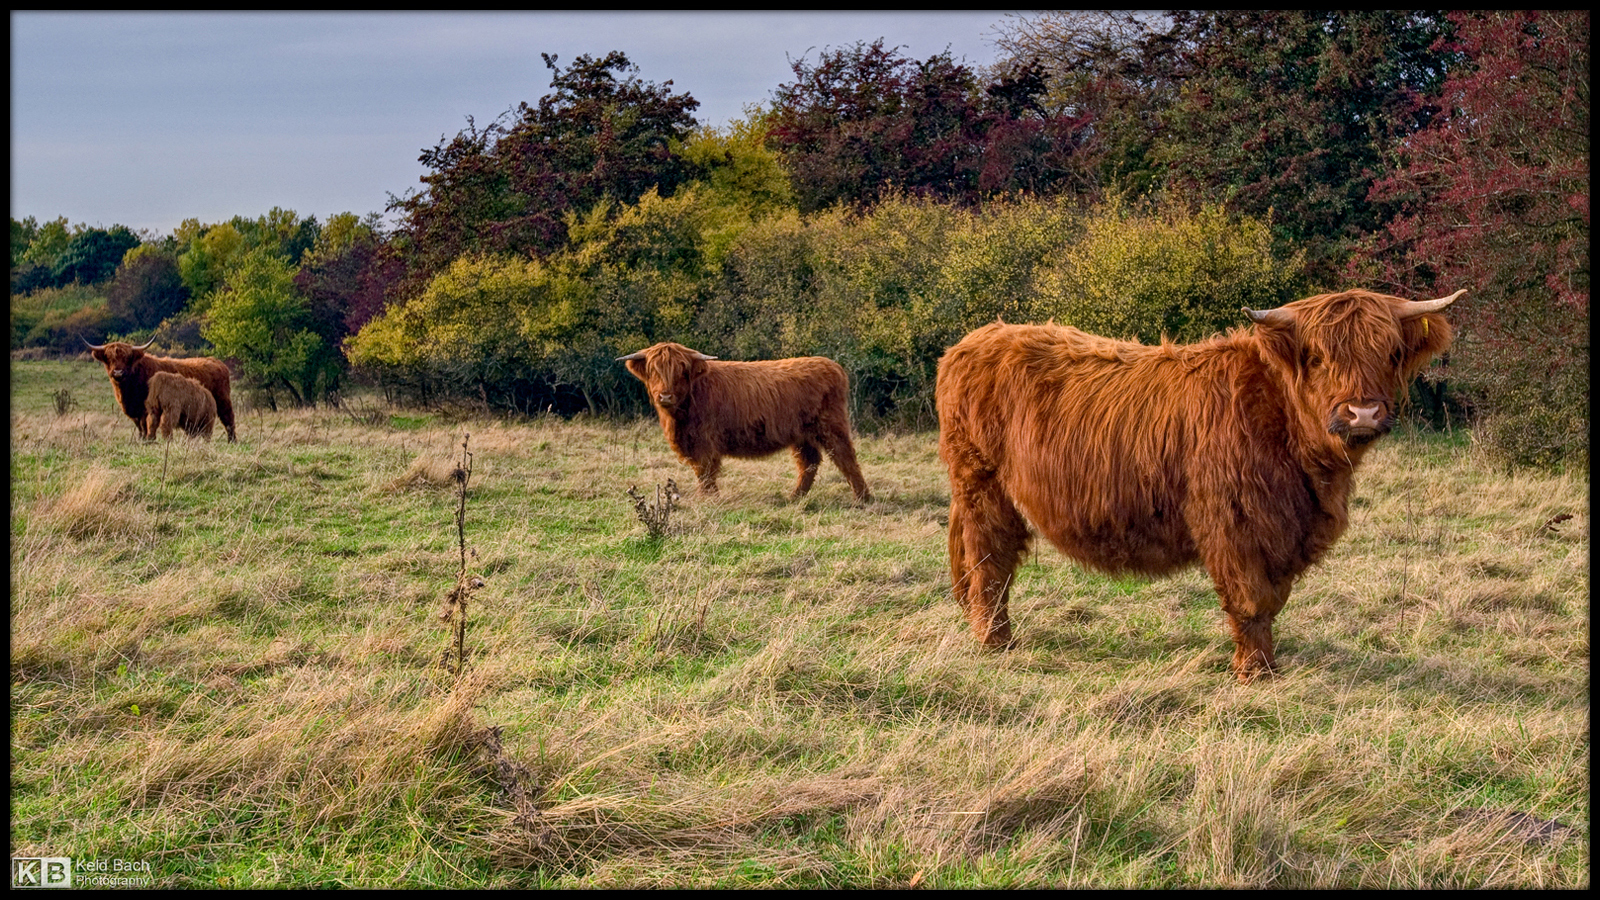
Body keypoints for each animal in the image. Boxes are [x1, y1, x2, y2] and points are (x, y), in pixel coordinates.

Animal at [87, 337, 235, 438]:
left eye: (127, 357)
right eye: (108, 357)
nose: (118, 372)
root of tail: (218, 362)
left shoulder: (146, 409)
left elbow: (146, 425)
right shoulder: (135, 411)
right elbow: (140, 427)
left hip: (222, 401)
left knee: (228, 419)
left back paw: (232, 441)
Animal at [620, 341, 876, 499]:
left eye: (681, 370)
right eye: (653, 370)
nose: (665, 396)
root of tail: (833, 366)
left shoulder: (705, 441)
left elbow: (705, 471)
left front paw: (709, 499)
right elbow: (702, 472)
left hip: (831, 426)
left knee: (846, 458)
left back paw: (863, 499)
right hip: (802, 435)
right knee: (809, 463)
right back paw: (795, 497)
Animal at [934, 286, 1465, 679]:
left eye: (1391, 352)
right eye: (1316, 357)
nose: (1363, 412)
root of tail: (974, 340)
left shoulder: (1285, 532)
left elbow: (1273, 600)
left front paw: (1267, 665)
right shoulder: (1234, 522)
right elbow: (1252, 600)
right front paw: (1254, 673)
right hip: (982, 488)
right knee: (989, 564)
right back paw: (996, 642)